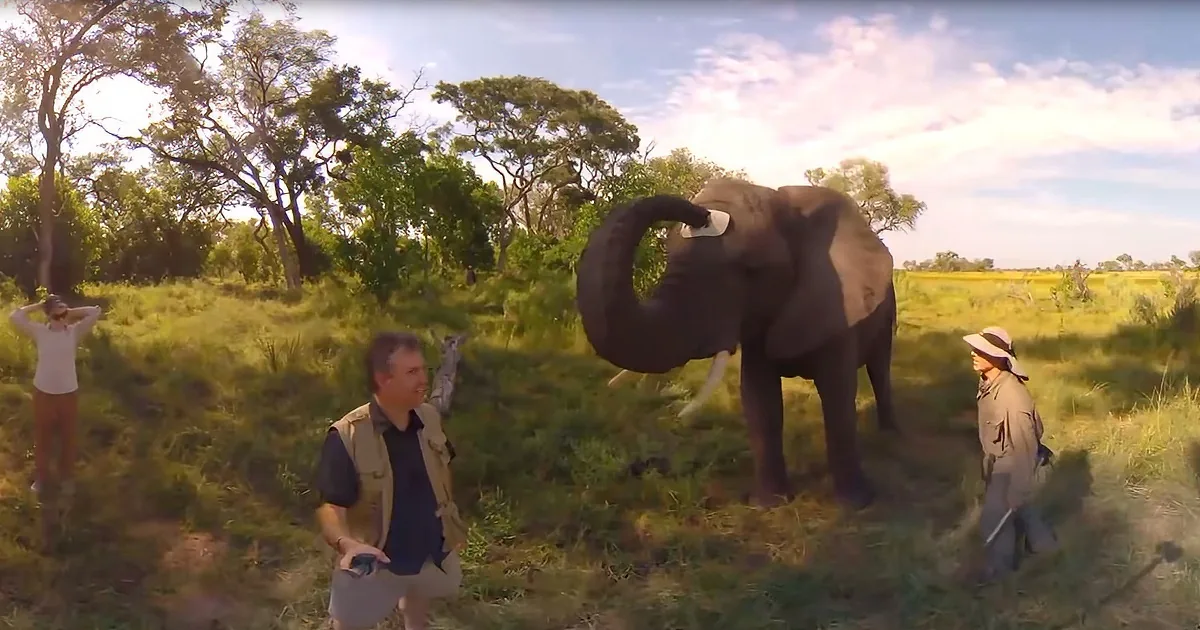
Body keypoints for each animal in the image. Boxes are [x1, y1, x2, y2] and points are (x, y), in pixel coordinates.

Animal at [574, 177, 898, 510]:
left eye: (750, 270)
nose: (704, 214)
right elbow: (759, 399)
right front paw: (767, 504)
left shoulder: (838, 308)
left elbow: (838, 398)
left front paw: (855, 505)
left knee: (879, 369)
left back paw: (889, 434)